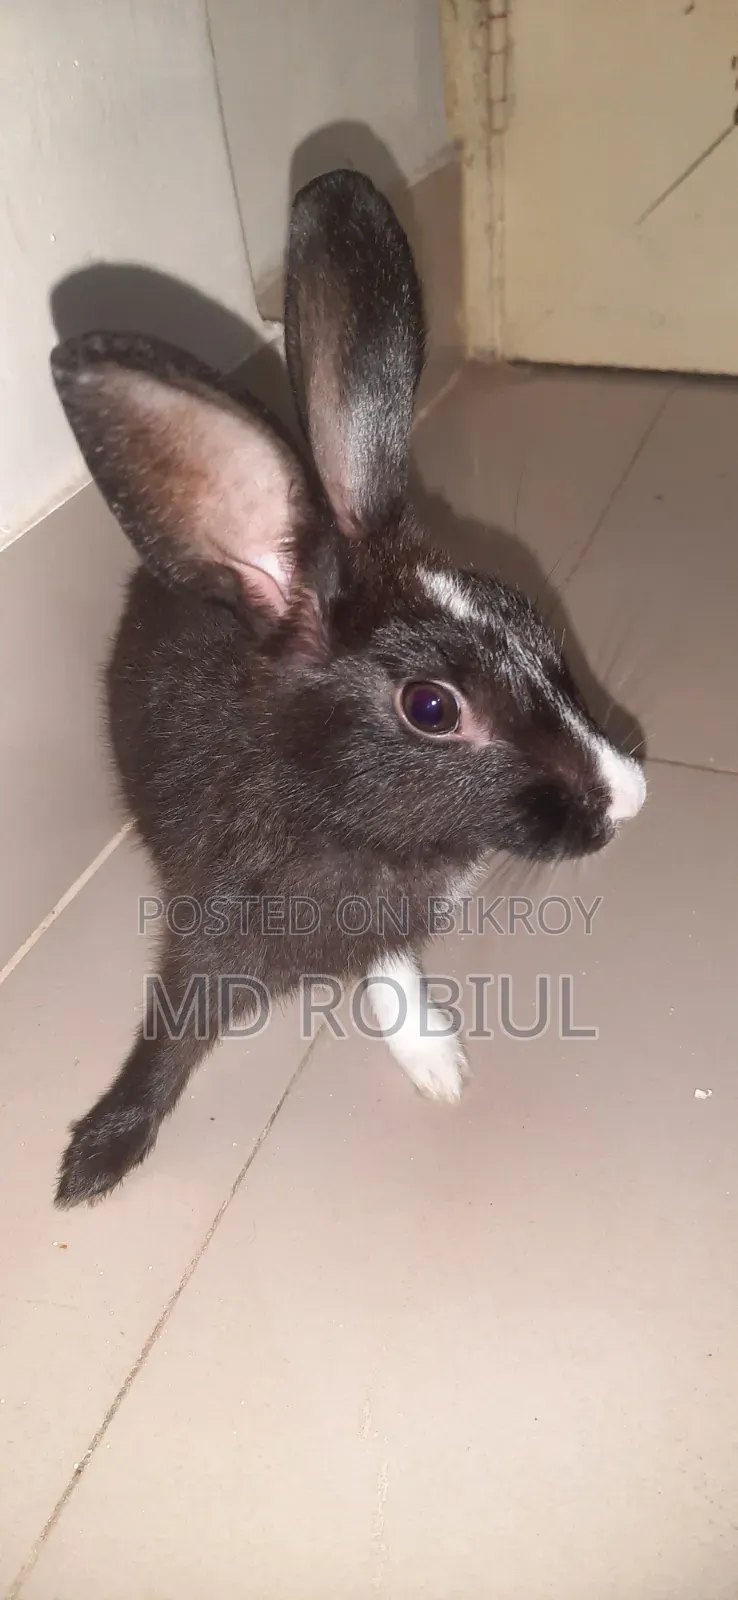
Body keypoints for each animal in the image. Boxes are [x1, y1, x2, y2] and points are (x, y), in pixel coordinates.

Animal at [50, 168, 646, 1207]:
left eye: (528, 616)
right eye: (431, 708)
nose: (628, 795)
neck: (334, 815)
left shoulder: (392, 926)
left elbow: (393, 973)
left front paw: (438, 1066)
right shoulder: (207, 936)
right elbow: (169, 1039)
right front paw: (97, 1157)